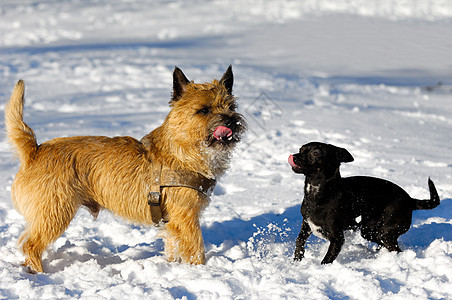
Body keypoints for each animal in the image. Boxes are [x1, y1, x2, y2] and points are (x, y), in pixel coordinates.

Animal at [5, 67, 245, 274]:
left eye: (231, 107)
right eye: (203, 110)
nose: (230, 120)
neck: (182, 149)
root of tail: (34, 150)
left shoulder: (173, 222)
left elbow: (173, 247)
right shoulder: (186, 217)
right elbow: (196, 249)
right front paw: (201, 271)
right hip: (54, 212)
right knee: (30, 244)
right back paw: (40, 273)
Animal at [288, 142, 440, 264]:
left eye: (316, 153)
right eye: (301, 149)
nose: (294, 157)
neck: (318, 193)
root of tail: (410, 200)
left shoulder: (337, 239)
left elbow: (327, 259)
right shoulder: (306, 224)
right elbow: (299, 241)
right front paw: (297, 261)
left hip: (385, 232)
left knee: (396, 249)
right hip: (370, 231)